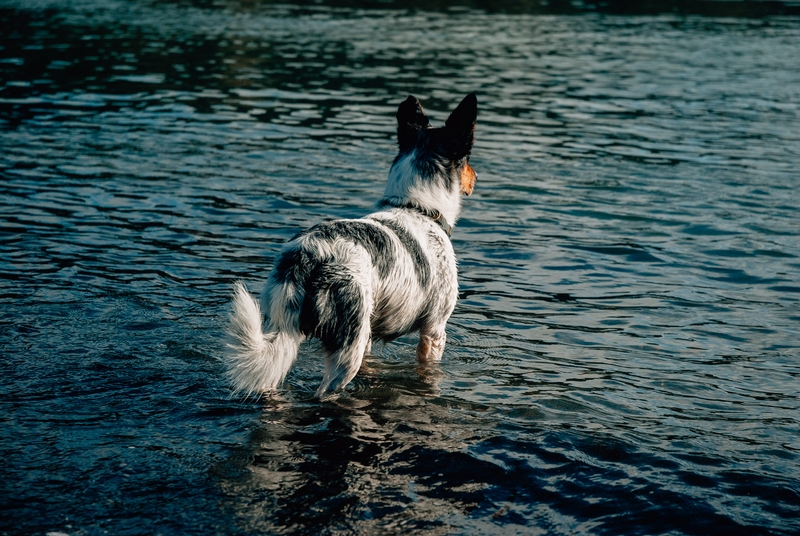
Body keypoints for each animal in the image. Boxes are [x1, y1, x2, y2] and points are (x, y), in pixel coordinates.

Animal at [223, 93, 476, 398]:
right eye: (468, 160)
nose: (475, 178)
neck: (416, 207)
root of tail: (311, 255)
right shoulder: (434, 330)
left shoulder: (372, 334)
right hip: (347, 348)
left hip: (283, 335)